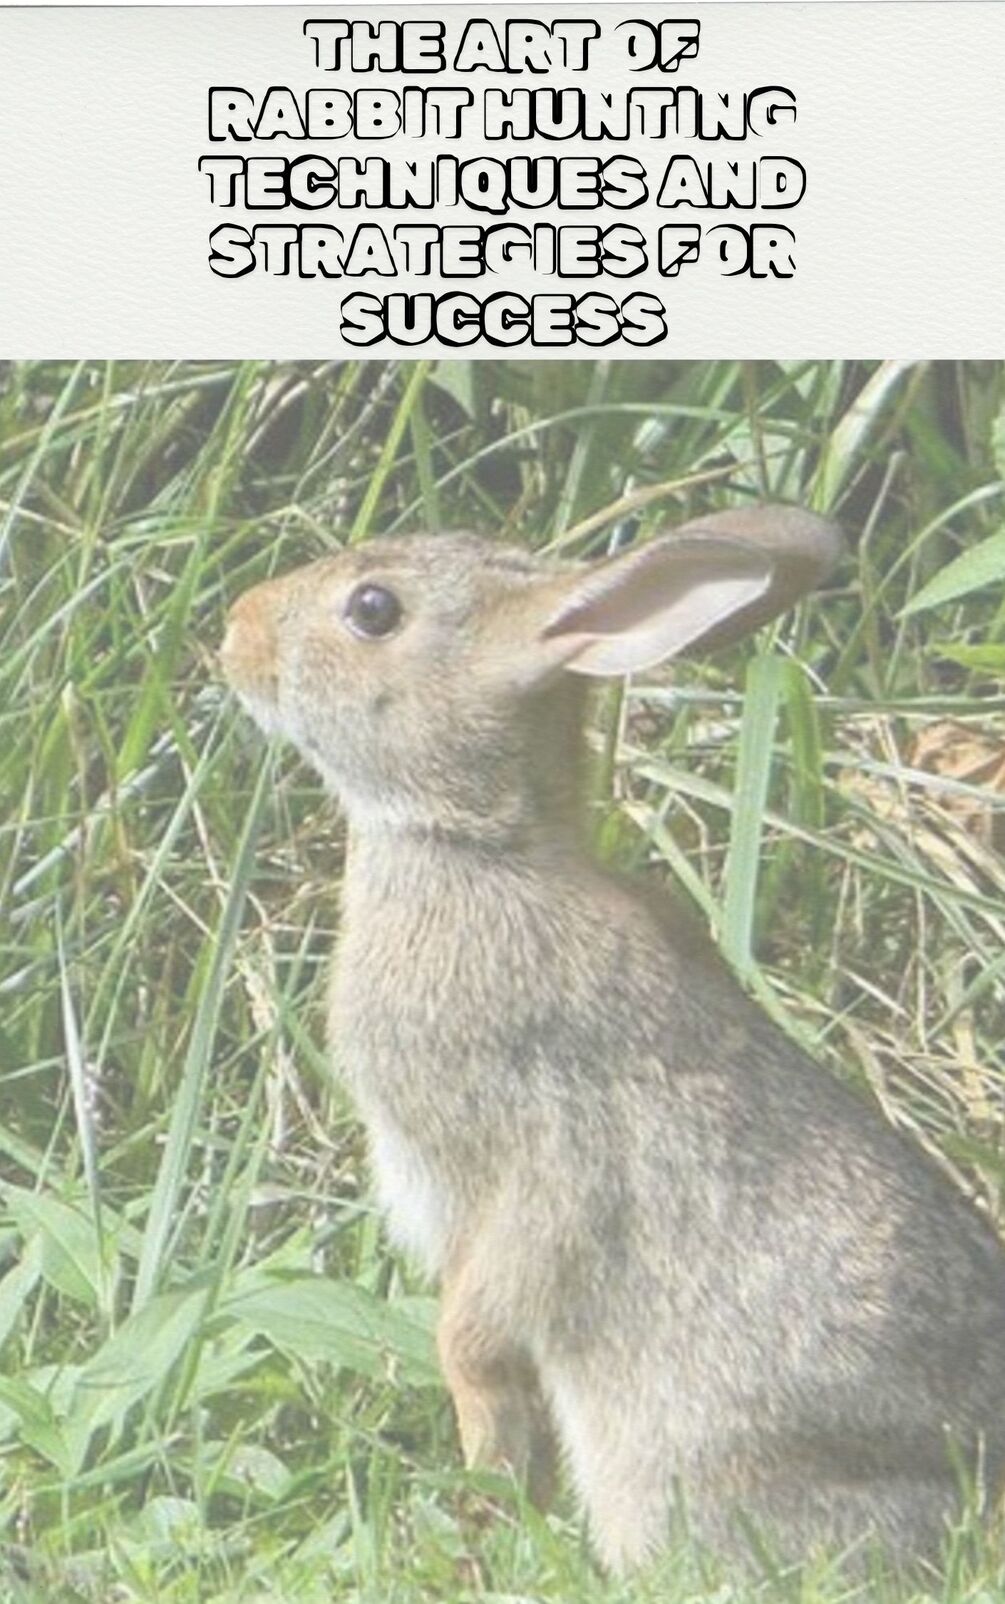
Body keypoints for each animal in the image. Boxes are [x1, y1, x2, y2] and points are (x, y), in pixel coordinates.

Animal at [220, 506, 1005, 1574]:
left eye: (372, 610)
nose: (234, 630)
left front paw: (487, 1511)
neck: (479, 848)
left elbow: (482, 1335)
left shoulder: (535, 1160)